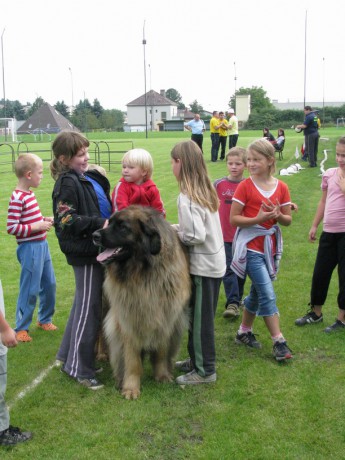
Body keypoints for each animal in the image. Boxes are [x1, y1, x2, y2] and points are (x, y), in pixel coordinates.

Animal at [92, 205, 189, 398]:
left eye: (122, 227)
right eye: (110, 222)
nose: (95, 235)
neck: (143, 274)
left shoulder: (165, 317)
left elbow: (161, 351)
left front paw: (162, 375)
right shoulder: (127, 320)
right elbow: (132, 360)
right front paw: (130, 387)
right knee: (100, 330)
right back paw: (102, 354)